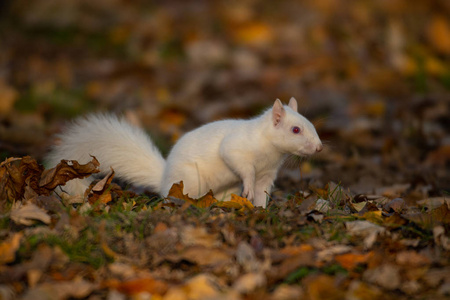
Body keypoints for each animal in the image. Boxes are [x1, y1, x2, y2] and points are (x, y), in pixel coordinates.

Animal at [45, 97, 322, 207]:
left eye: (310, 123)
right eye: (295, 129)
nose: (319, 147)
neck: (269, 151)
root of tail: (164, 179)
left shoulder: (268, 172)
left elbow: (263, 191)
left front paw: (261, 208)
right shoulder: (237, 148)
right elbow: (239, 164)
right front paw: (248, 187)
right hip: (188, 181)